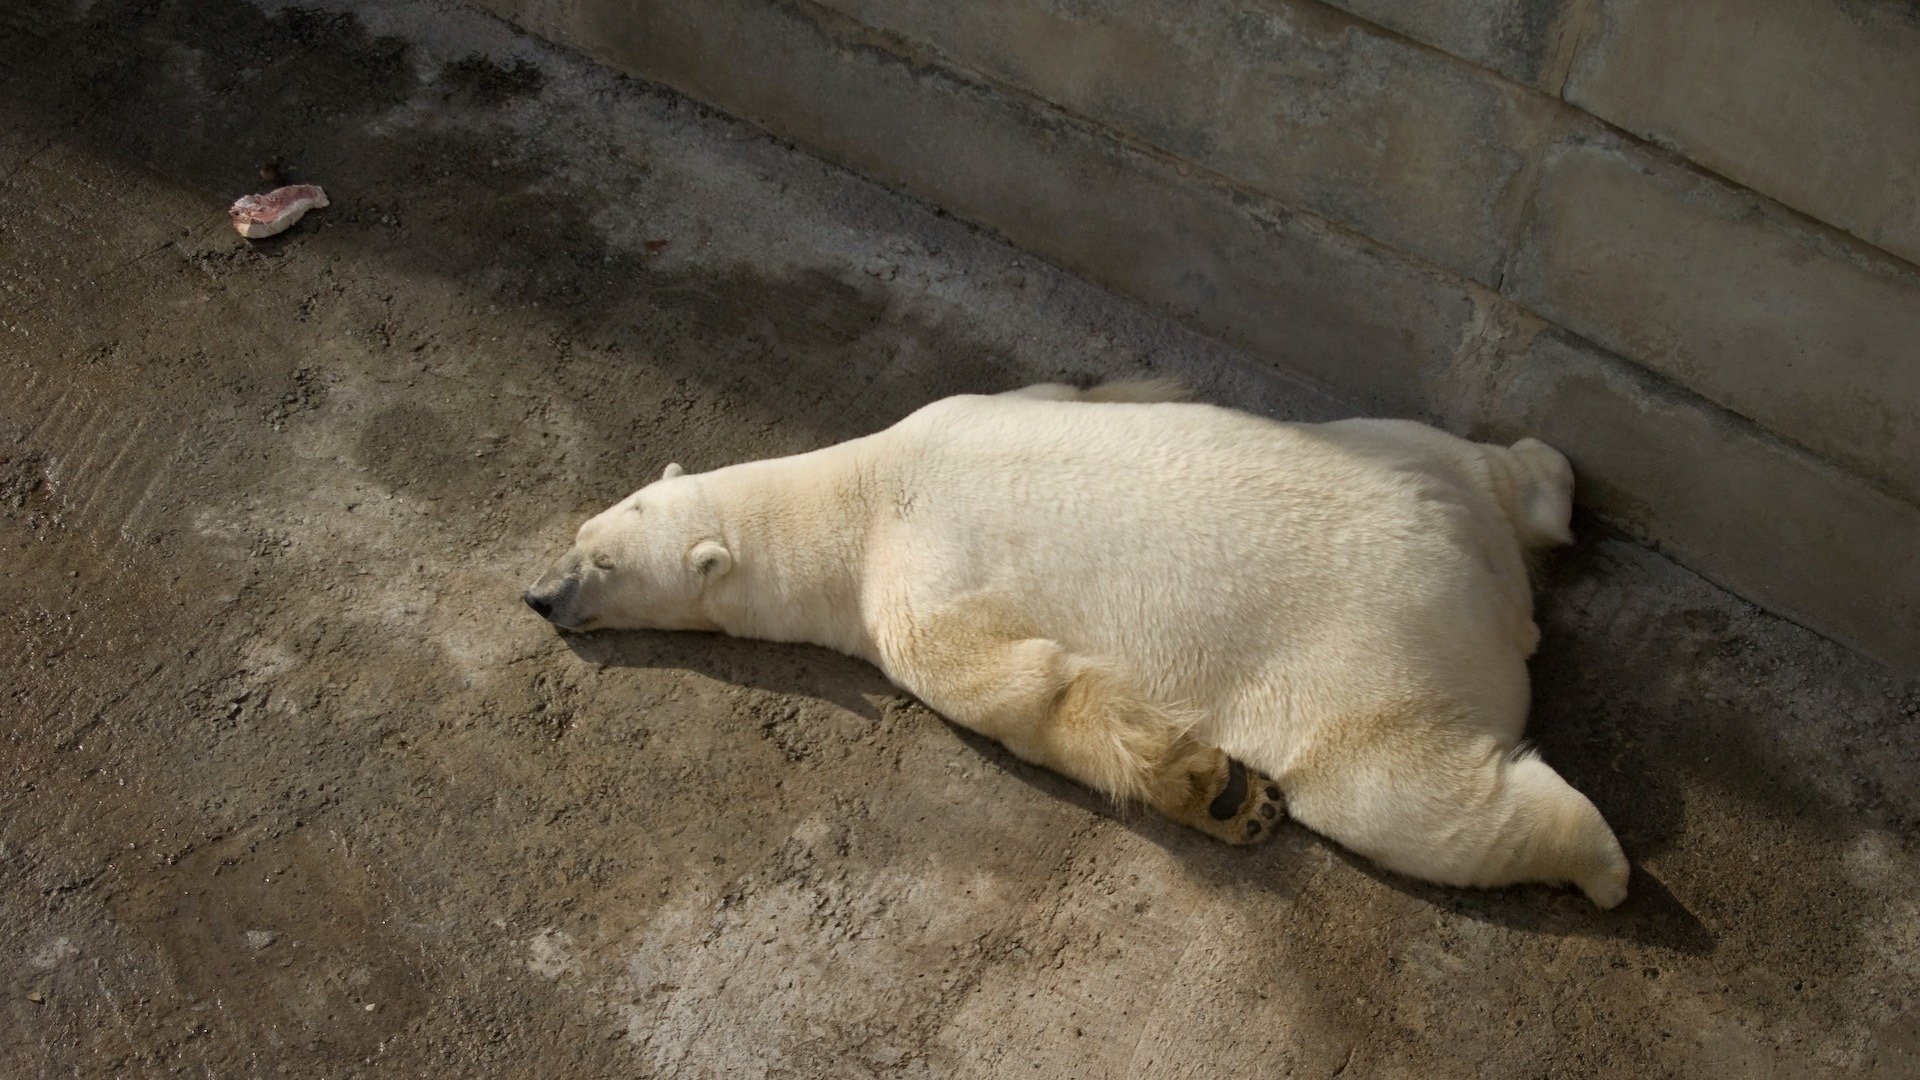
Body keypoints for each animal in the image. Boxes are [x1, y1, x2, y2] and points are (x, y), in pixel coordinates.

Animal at [524, 380, 1630, 908]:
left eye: (604, 565)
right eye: (581, 533)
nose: (540, 596)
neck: (858, 491)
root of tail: (1481, 575)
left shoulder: (910, 588)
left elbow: (1021, 686)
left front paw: (1217, 787)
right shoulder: (976, 407)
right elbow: (1067, 393)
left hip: (1368, 660)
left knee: (1406, 797)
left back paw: (1601, 864)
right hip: (1407, 450)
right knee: (1500, 463)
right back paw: (1549, 478)